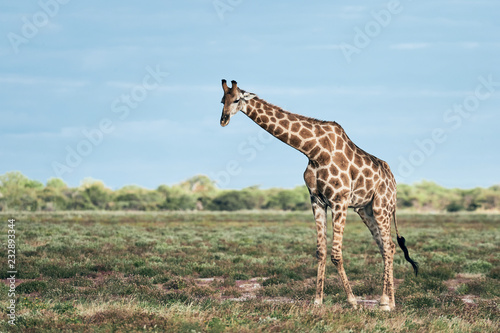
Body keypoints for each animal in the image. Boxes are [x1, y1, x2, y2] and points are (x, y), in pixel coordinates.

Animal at [219, 80, 418, 308]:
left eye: (236, 99)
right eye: (222, 100)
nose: (223, 120)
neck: (314, 151)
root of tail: (394, 182)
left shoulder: (339, 200)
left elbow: (336, 254)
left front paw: (352, 301)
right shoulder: (317, 200)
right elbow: (321, 251)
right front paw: (317, 301)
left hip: (381, 206)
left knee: (389, 246)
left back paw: (385, 302)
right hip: (365, 209)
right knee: (387, 246)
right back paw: (389, 301)